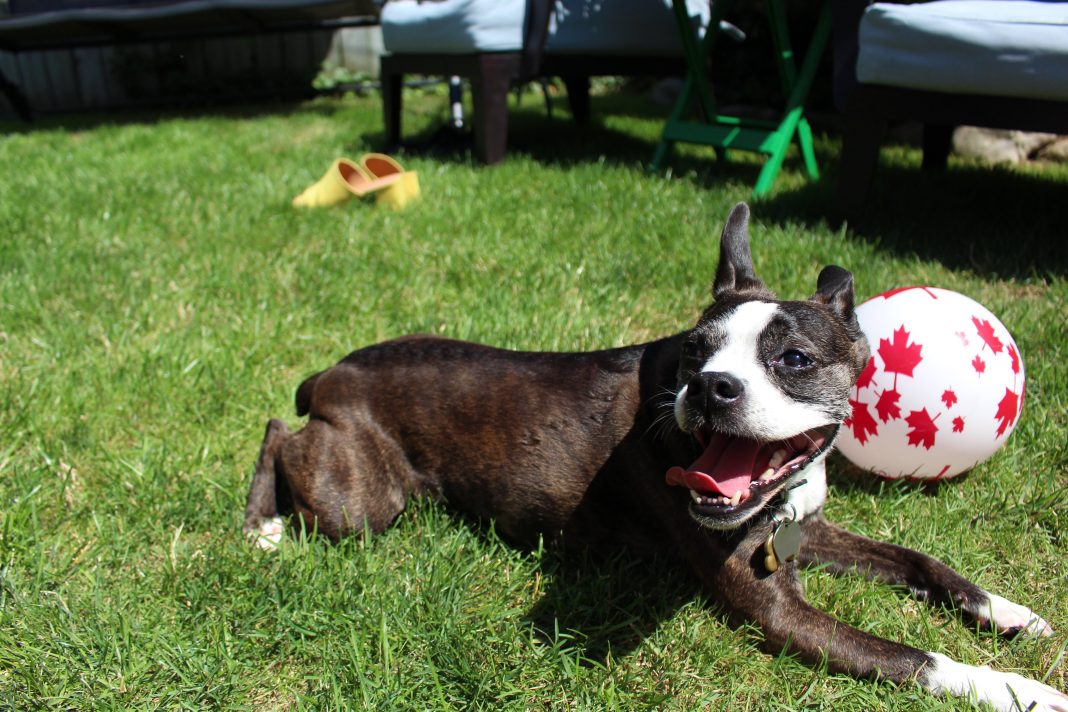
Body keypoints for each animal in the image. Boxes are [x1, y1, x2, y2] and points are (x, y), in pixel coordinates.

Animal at [245, 202, 1063, 708]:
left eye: (794, 359)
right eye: (694, 354)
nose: (711, 387)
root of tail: (334, 371)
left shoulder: (808, 528)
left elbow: (920, 559)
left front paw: (1008, 611)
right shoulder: (776, 609)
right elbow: (914, 658)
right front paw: (1014, 688)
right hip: (359, 499)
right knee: (277, 430)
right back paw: (261, 527)